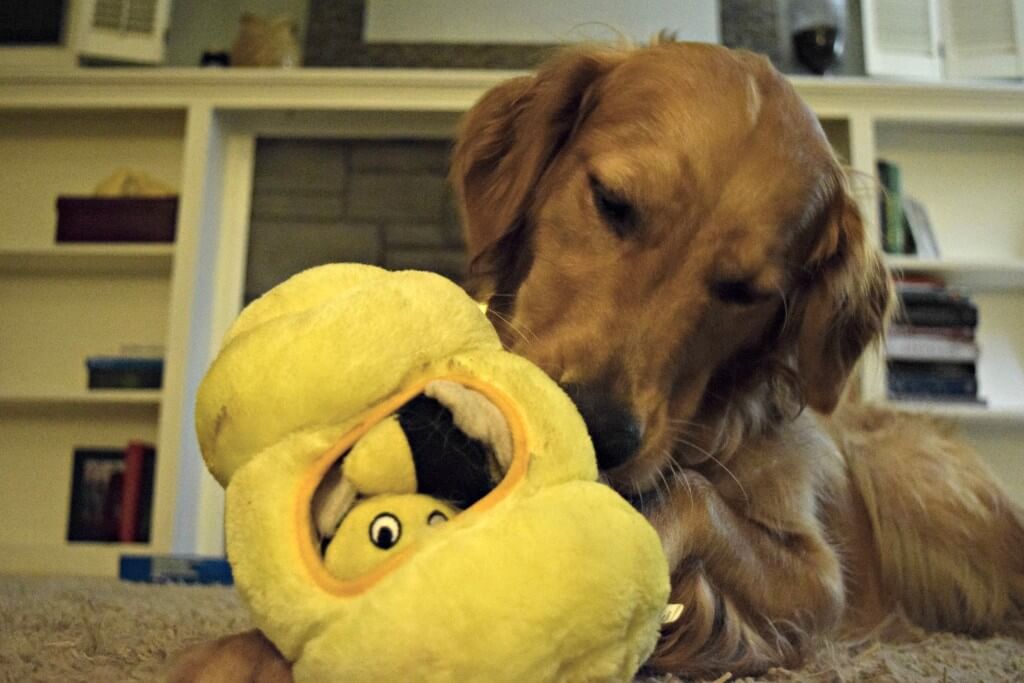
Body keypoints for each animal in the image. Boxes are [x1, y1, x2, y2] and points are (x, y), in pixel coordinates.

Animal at [172, 40, 1019, 679]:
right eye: (612, 201)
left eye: (745, 290)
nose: (598, 428)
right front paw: (245, 649)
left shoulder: (821, 581)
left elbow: (696, 503)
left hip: (912, 475)